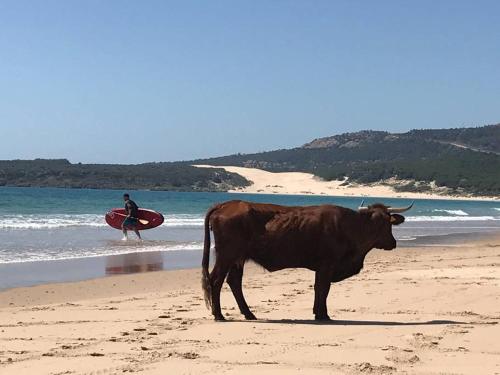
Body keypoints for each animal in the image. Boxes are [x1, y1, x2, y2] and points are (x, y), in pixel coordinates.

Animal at [201, 201, 412, 322]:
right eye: (383, 224)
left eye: (388, 221)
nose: (393, 243)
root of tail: (227, 204)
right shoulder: (327, 265)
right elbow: (323, 288)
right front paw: (323, 315)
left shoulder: (323, 267)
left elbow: (320, 289)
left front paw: (318, 312)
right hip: (227, 255)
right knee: (216, 280)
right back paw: (219, 315)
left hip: (238, 258)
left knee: (234, 282)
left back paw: (249, 314)